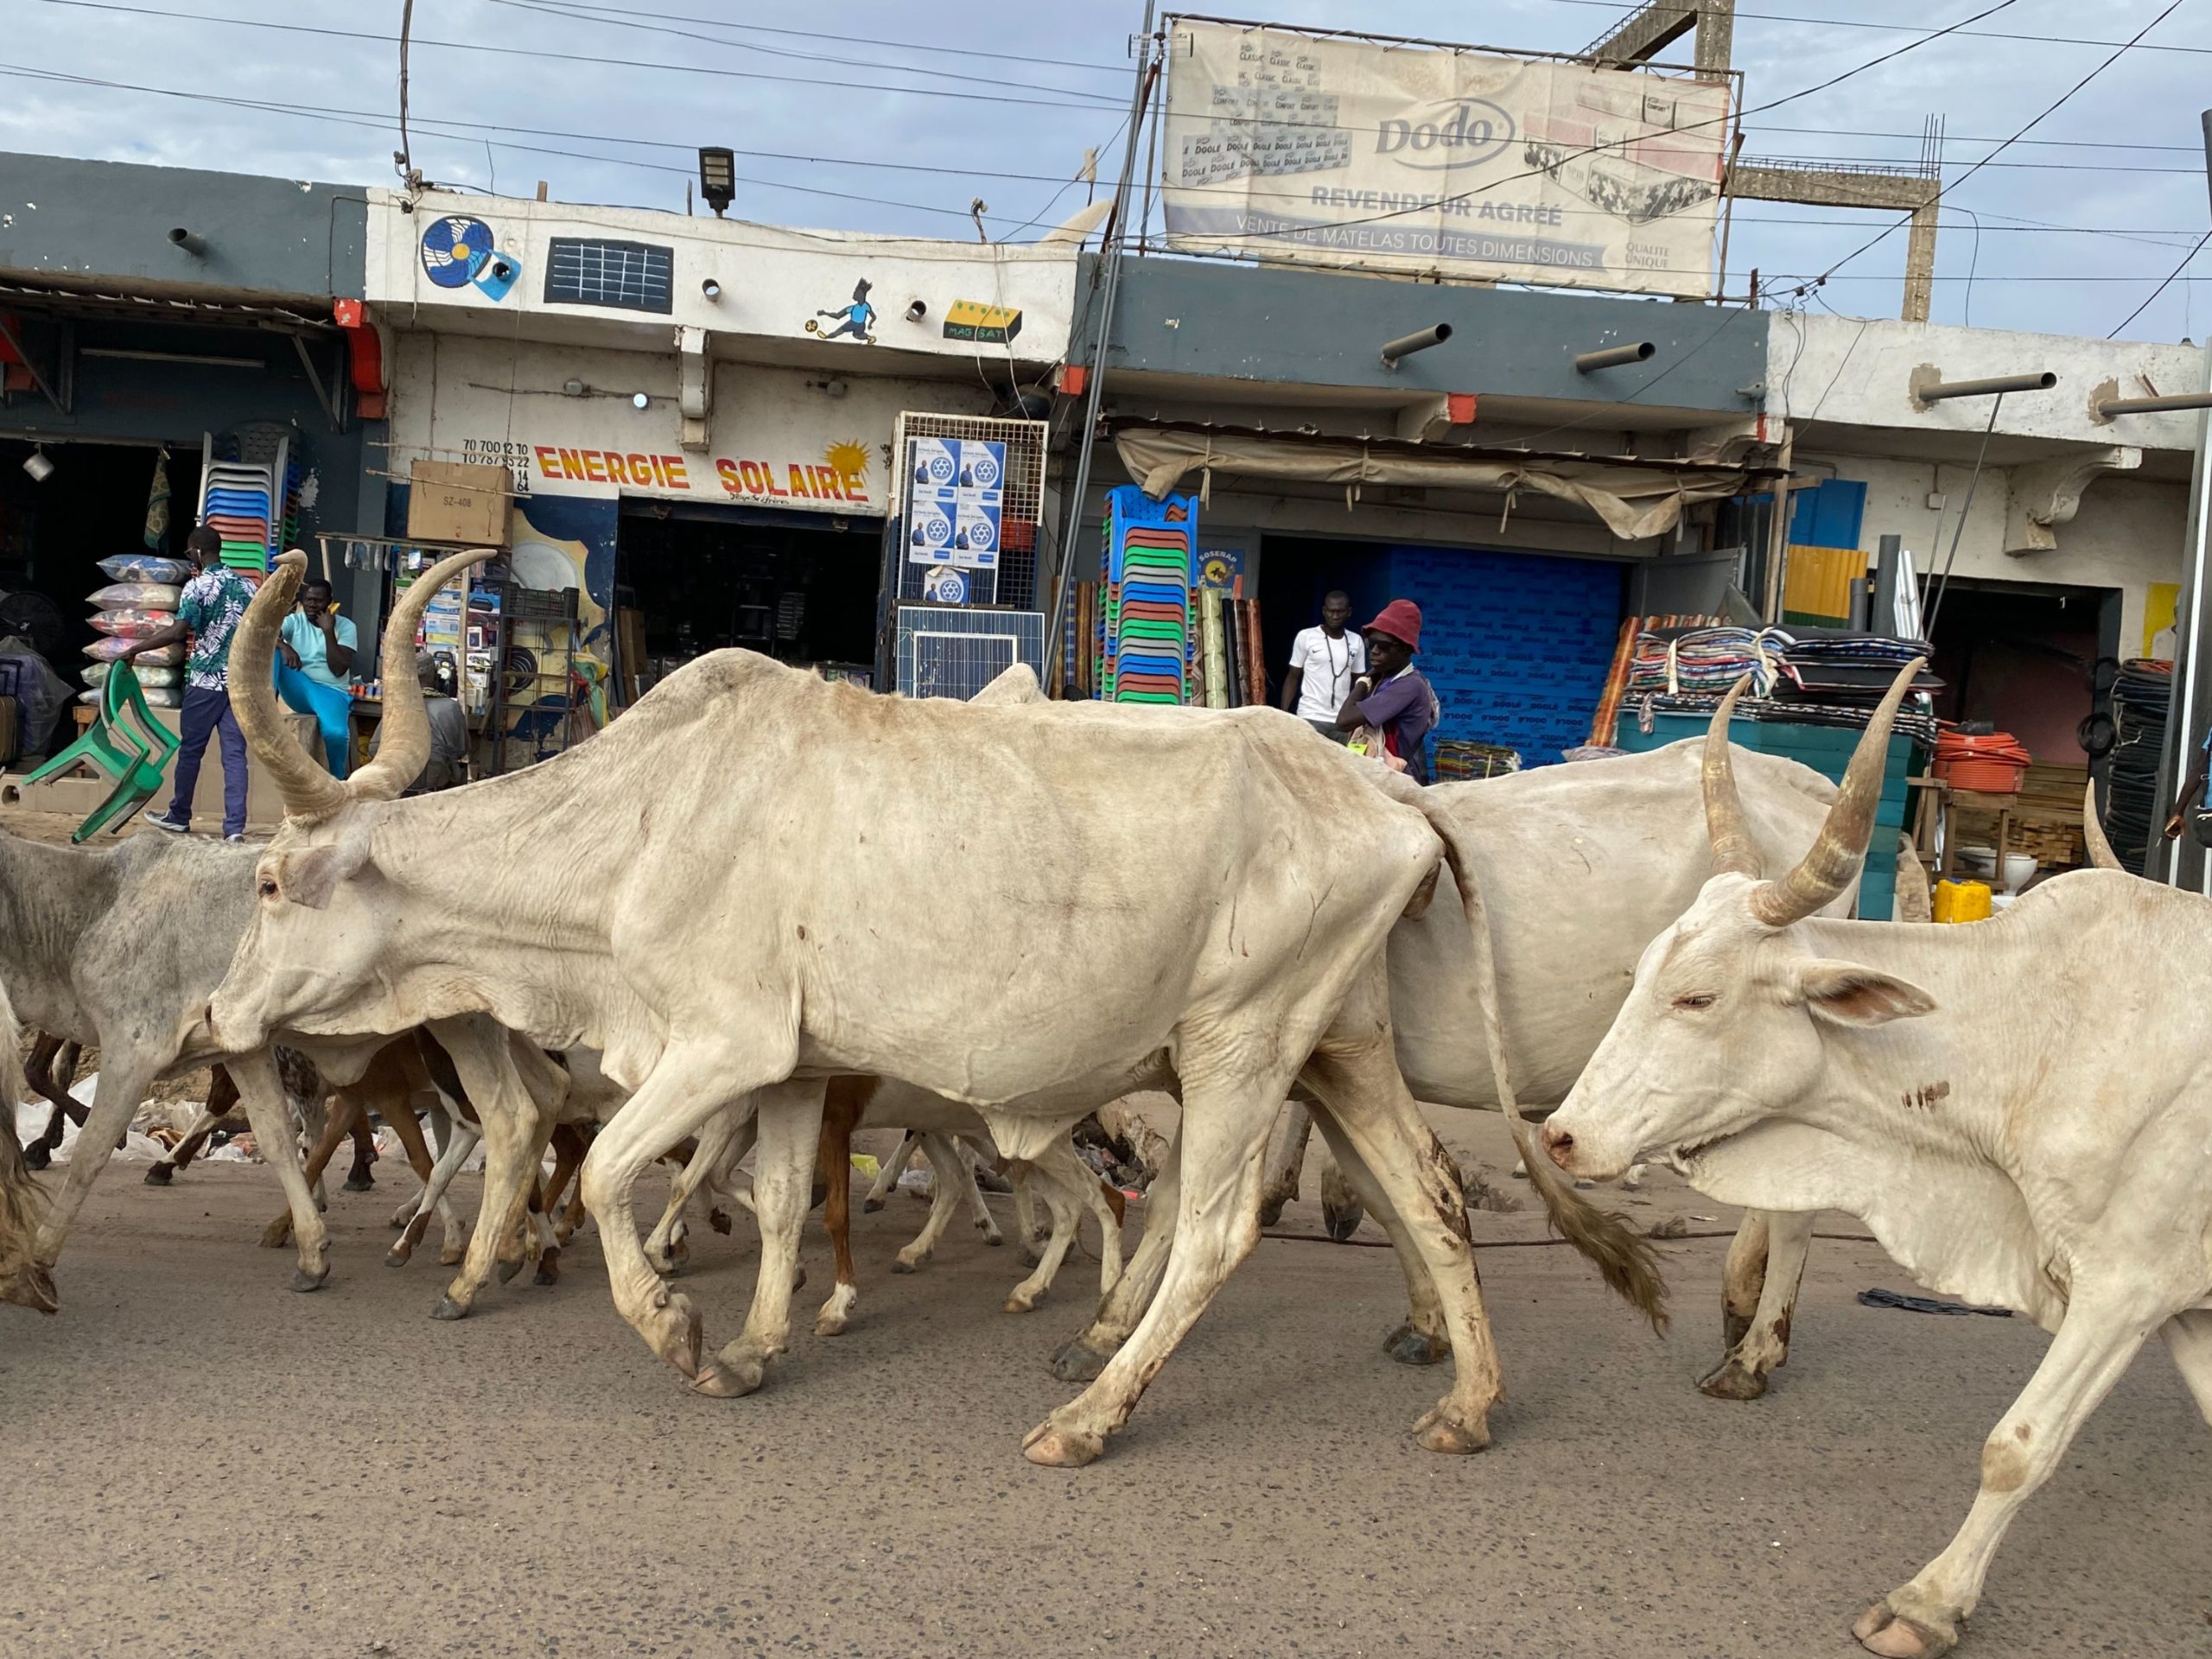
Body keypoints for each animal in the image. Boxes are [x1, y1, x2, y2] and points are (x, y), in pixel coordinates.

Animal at [1539, 668, 2212, 1654]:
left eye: (1698, 997)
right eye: (1640, 972)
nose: (1562, 1135)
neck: (2046, 1033)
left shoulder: (2128, 1288)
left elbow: (2017, 1447)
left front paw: (1927, 1605)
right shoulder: (2186, 1307)